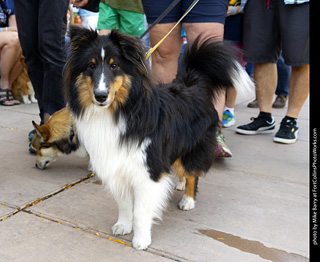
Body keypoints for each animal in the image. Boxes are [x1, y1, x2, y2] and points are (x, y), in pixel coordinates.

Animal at [65, 25, 254, 250]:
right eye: (91, 66)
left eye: (114, 66)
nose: (100, 96)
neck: (121, 110)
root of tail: (193, 83)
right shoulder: (118, 165)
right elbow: (124, 203)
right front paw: (124, 225)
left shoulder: (148, 170)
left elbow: (141, 211)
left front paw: (141, 240)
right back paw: (179, 183)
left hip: (192, 147)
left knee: (192, 173)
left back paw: (188, 199)